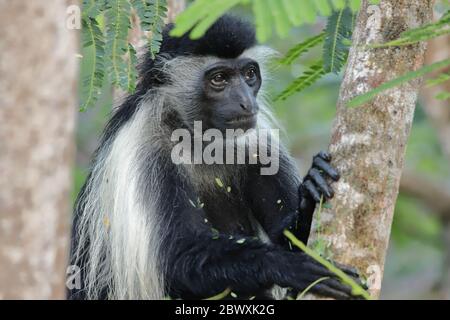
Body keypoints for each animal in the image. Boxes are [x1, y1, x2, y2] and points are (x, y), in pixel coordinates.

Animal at [67, 15, 362, 300]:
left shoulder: (259, 146)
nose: (246, 102)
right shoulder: (146, 152)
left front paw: (311, 188)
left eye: (249, 74)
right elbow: (176, 260)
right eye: (219, 78)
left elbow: (288, 236)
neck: (196, 139)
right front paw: (288, 266)